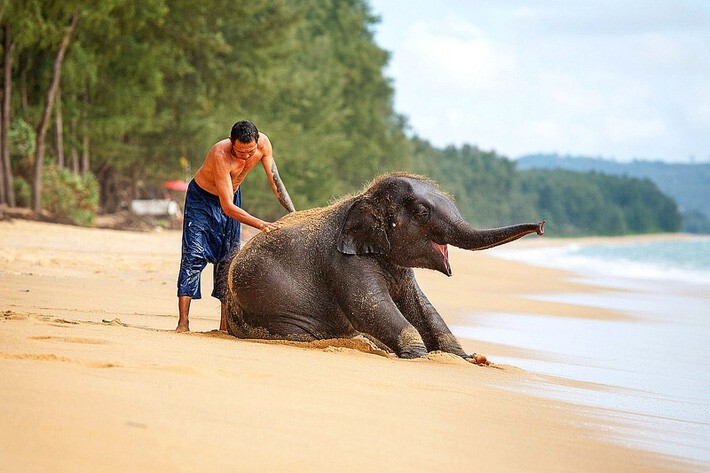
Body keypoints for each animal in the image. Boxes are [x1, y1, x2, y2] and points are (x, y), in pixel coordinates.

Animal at [225, 172, 548, 362]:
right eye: (421, 212)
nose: (542, 226)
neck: (363, 197)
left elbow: (421, 307)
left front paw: (467, 358)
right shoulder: (343, 261)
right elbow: (369, 306)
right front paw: (418, 356)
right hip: (276, 314)